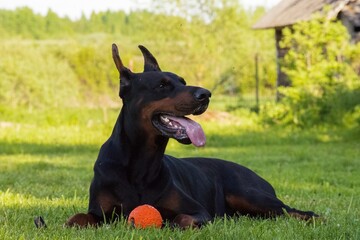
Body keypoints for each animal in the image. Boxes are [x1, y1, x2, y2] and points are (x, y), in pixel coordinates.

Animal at [65, 43, 318, 229]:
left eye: (182, 81)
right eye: (162, 85)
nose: (205, 94)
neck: (140, 165)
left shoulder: (198, 211)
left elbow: (182, 218)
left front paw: (169, 224)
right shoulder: (99, 211)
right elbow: (76, 219)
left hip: (248, 194)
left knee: (294, 211)